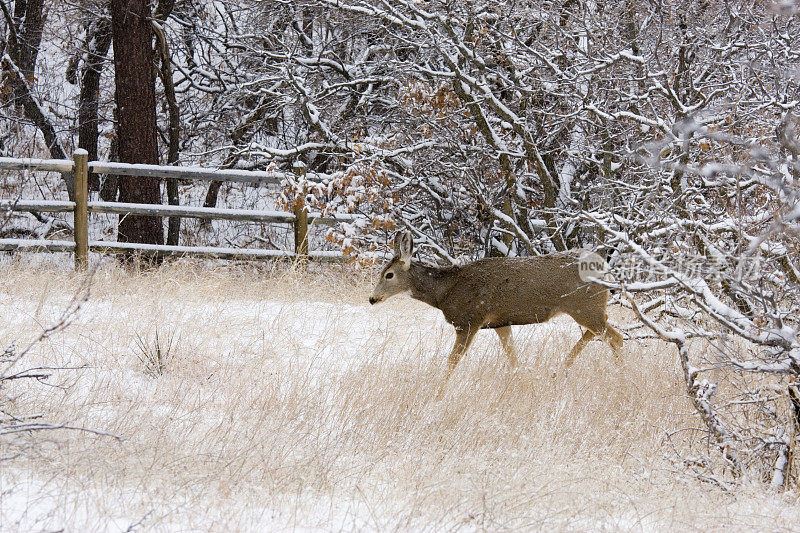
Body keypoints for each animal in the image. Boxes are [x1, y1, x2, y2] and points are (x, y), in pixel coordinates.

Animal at [368, 230, 624, 390]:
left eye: (388, 274)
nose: (372, 298)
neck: (445, 292)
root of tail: (606, 268)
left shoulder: (469, 320)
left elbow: (452, 361)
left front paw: (438, 391)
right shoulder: (500, 323)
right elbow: (513, 358)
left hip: (584, 306)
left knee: (615, 337)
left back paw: (619, 373)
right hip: (588, 309)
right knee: (599, 332)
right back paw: (560, 368)